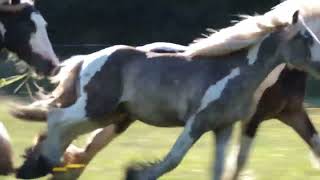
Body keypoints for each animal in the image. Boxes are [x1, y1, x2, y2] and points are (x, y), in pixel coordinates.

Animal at [13, 0, 320, 179]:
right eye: (306, 37)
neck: (233, 72)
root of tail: (88, 58)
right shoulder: (198, 121)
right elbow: (174, 158)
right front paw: (135, 172)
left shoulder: (224, 127)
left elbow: (219, 169)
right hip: (95, 108)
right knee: (57, 119)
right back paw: (41, 164)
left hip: (111, 115)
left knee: (67, 131)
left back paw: (37, 166)